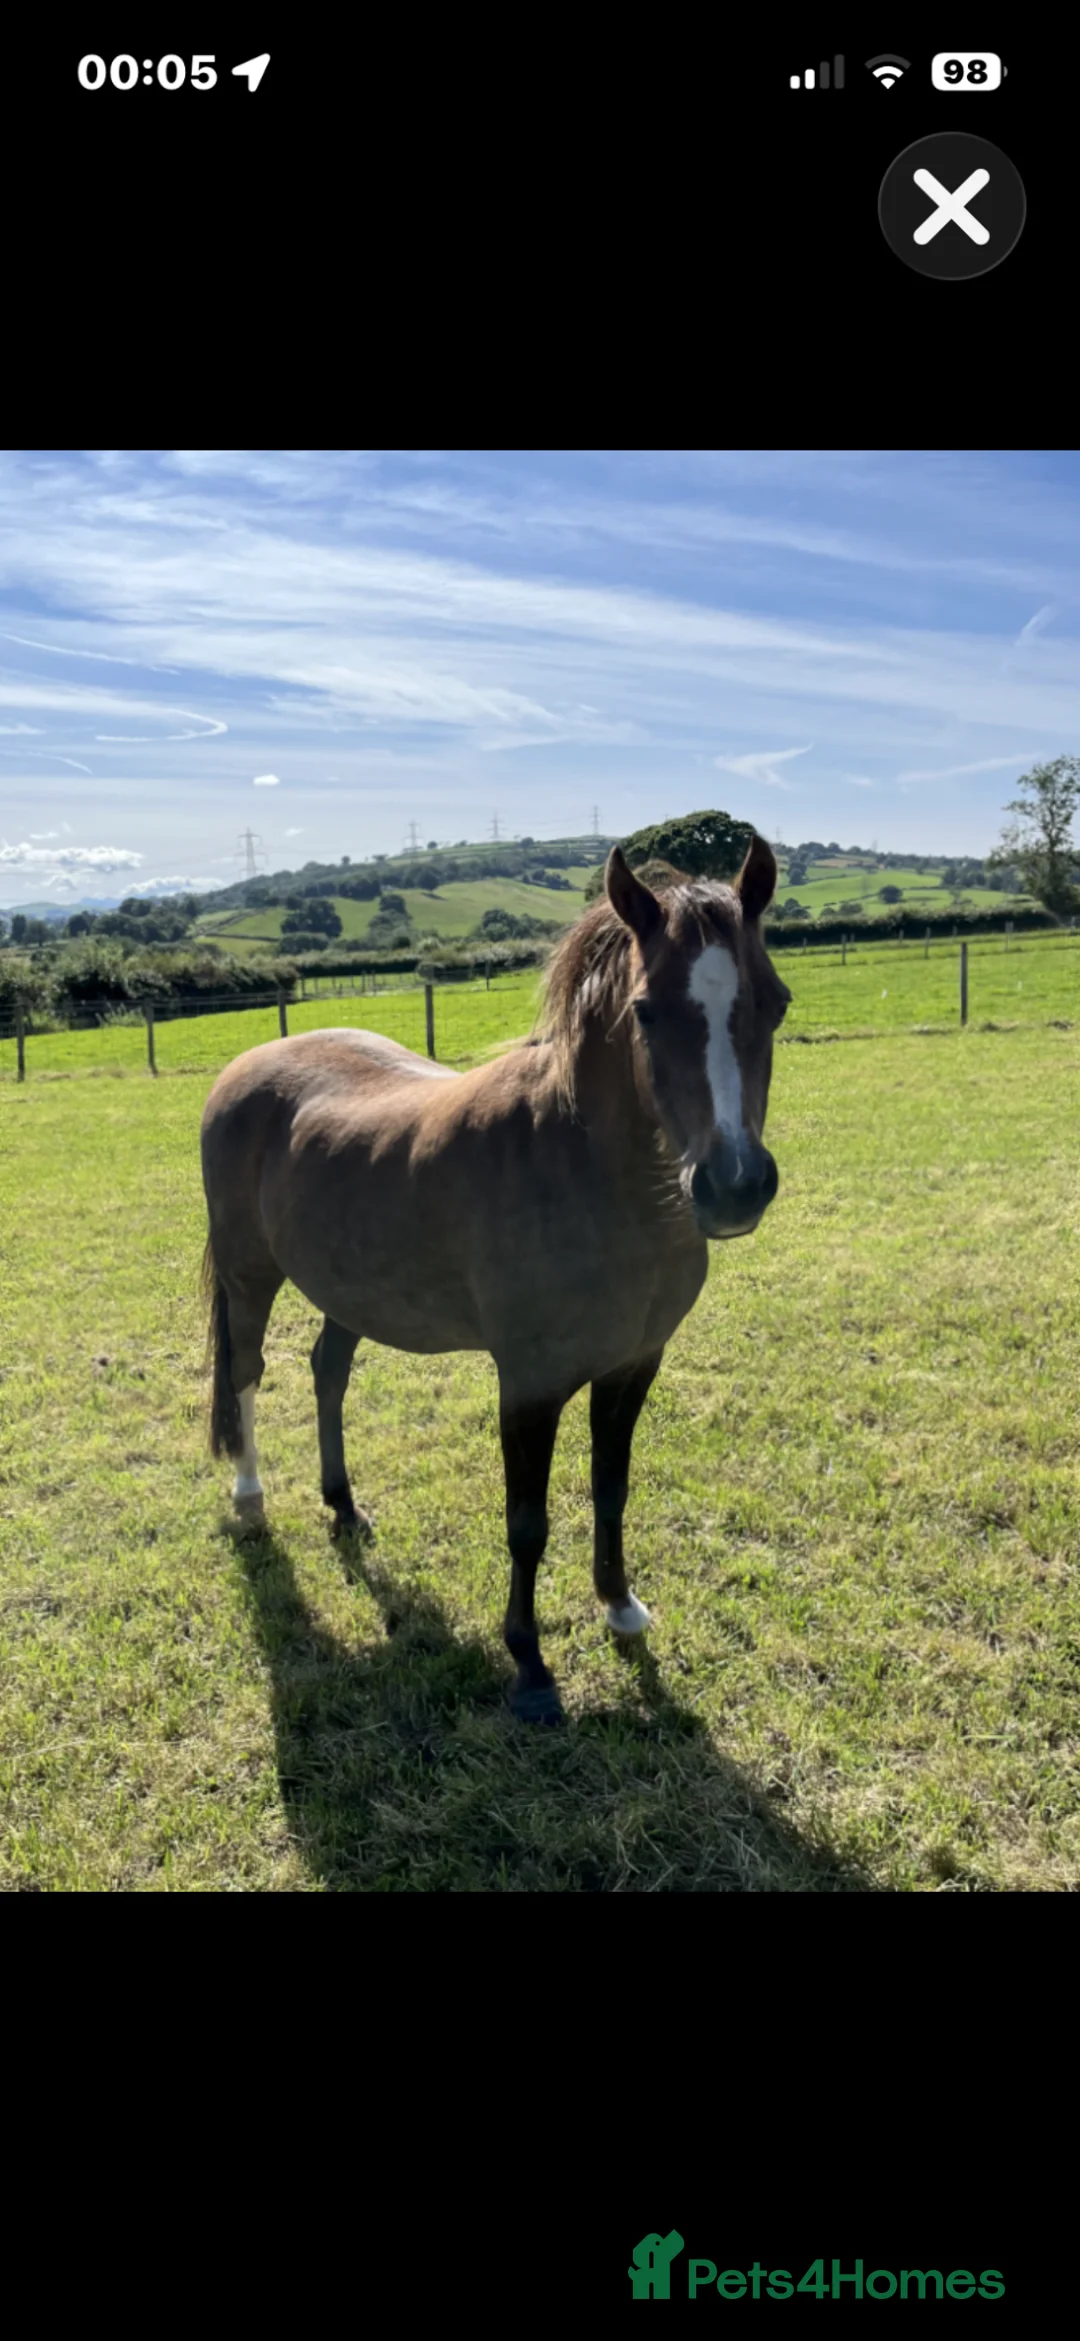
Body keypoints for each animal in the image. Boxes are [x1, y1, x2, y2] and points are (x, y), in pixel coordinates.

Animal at [200, 836, 791, 1722]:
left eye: (776, 1002)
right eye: (646, 1012)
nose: (734, 1186)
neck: (585, 1171)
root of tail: (244, 1067)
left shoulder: (632, 1367)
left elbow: (610, 1488)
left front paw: (620, 1608)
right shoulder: (530, 1382)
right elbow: (527, 1520)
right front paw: (531, 1666)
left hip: (347, 1287)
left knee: (327, 1372)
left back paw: (343, 1506)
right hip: (249, 1276)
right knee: (246, 1372)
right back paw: (249, 1496)